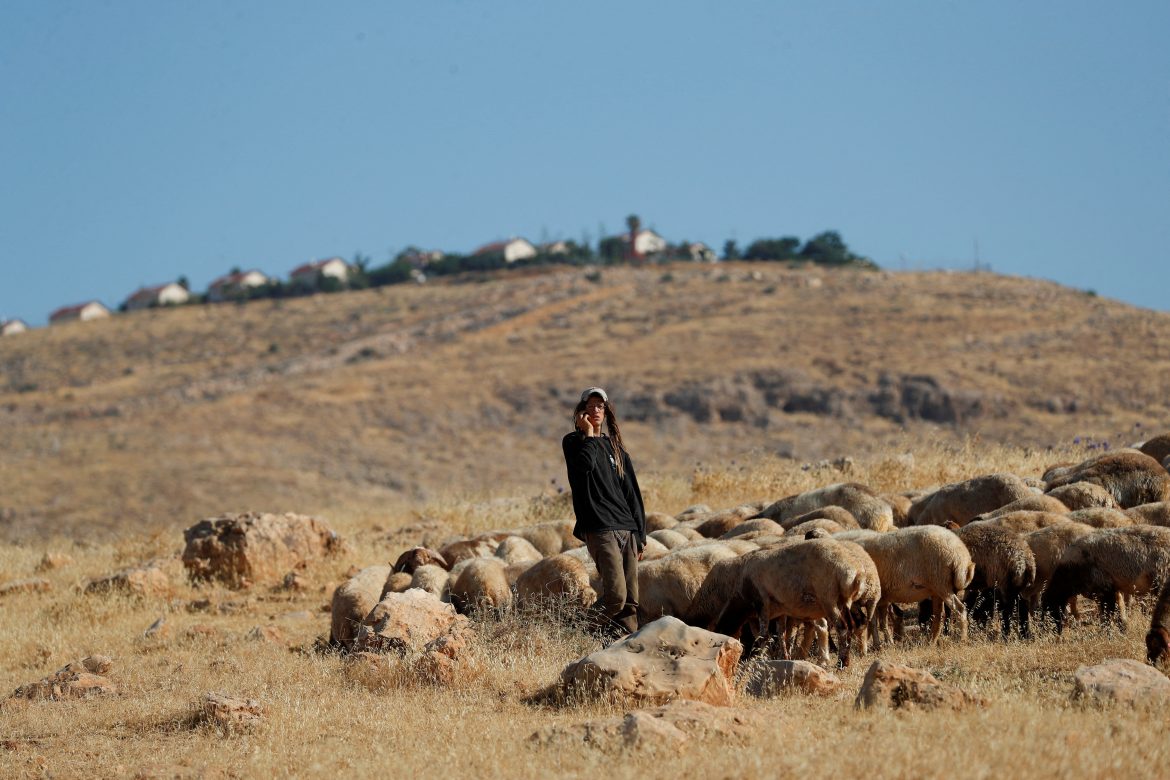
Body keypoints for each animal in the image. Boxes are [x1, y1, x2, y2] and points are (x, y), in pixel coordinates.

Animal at [837, 528, 973, 650]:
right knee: (938, 617)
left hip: (941, 584)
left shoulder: (873, 596)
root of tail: (962, 557)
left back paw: (962, 640)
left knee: (960, 609)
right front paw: (886, 642)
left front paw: (877, 645)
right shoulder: (882, 598)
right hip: (937, 589)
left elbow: (874, 622)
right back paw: (931, 642)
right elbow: (881, 622)